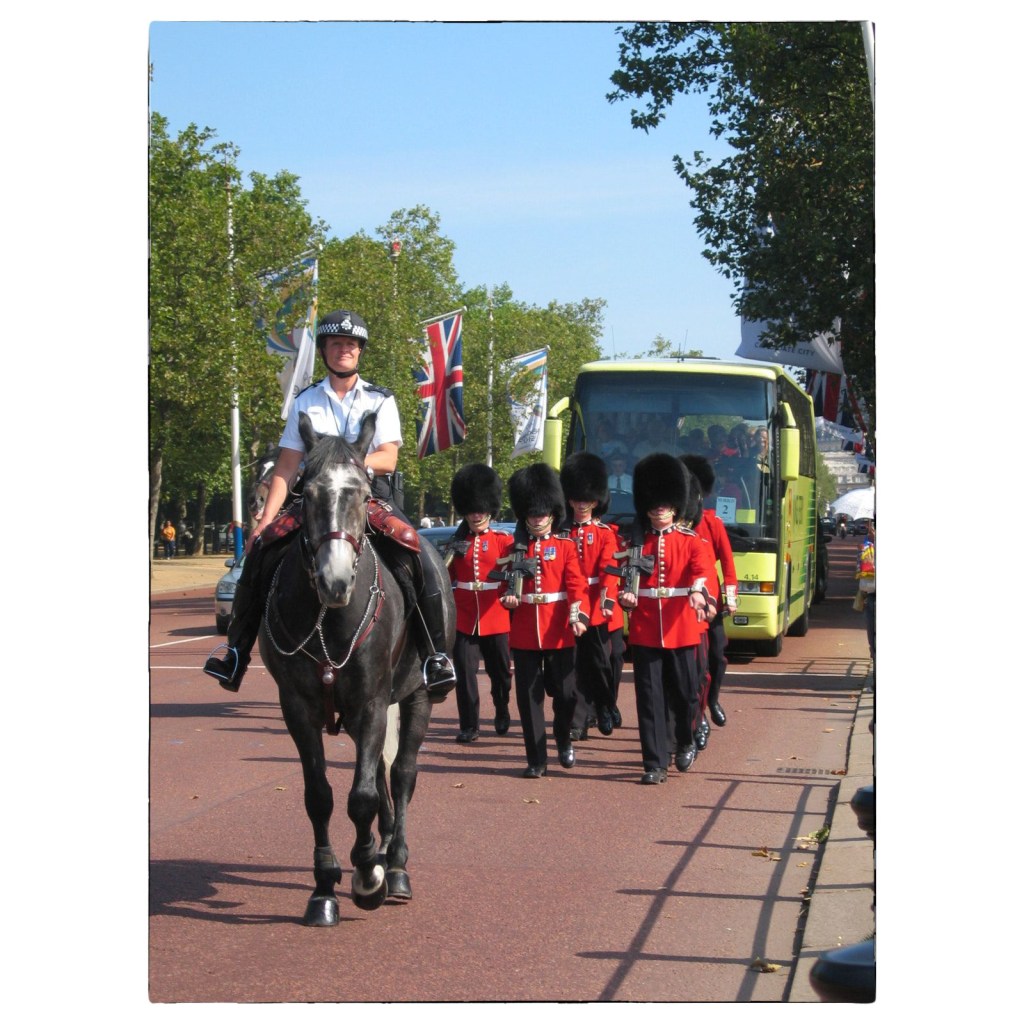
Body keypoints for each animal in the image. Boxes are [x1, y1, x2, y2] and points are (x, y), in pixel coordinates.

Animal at [256, 411, 454, 926]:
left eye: (364, 494)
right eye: (306, 491)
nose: (336, 580)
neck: (328, 618)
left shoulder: (371, 703)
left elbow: (362, 796)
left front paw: (368, 878)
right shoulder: (300, 709)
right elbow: (320, 796)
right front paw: (325, 887)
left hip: (417, 695)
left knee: (401, 775)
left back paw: (396, 868)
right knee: (382, 776)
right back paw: (382, 855)